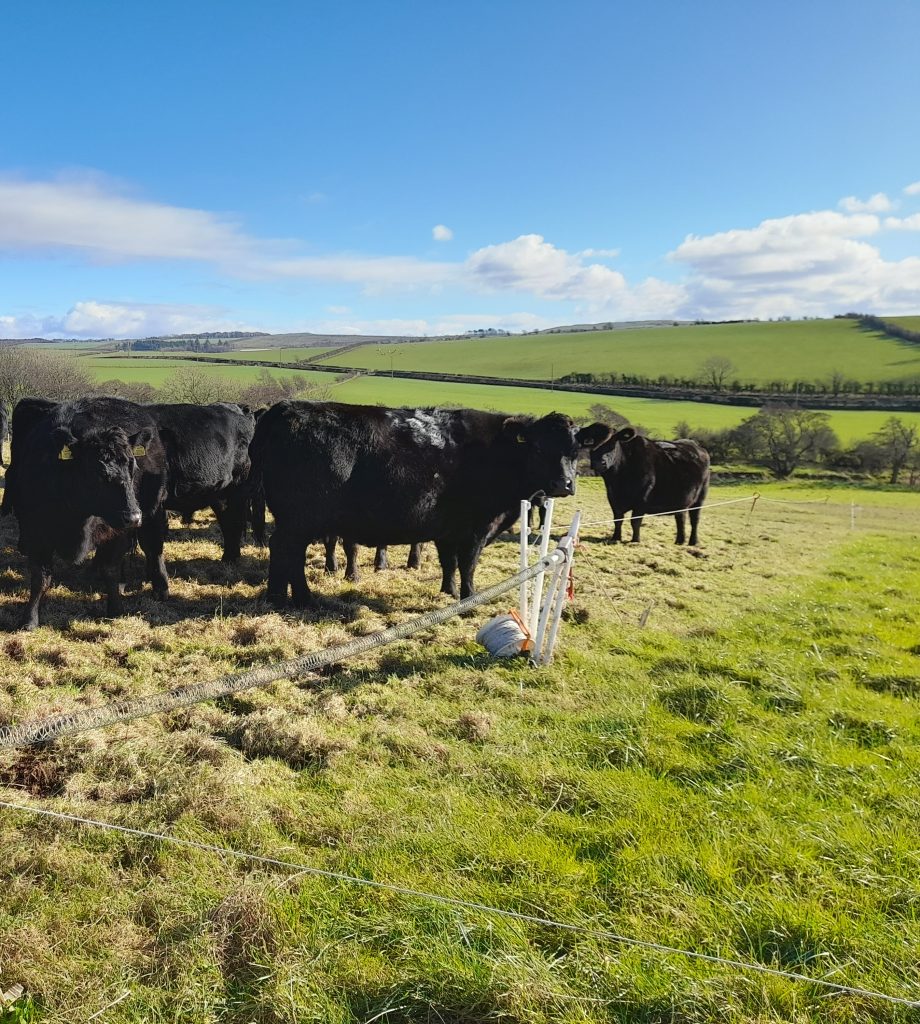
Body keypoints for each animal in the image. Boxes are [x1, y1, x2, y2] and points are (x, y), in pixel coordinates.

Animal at [248, 401, 581, 606]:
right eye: (538, 448)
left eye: (576, 451)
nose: (564, 484)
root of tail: (286, 408)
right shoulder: (476, 527)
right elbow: (468, 564)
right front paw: (469, 599)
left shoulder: (449, 529)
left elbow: (449, 562)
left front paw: (448, 591)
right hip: (300, 519)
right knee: (286, 550)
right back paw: (293, 598)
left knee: (287, 552)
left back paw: (289, 597)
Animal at [573, 421, 708, 544]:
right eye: (591, 443)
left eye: (613, 443)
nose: (599, 463)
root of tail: (697, 447)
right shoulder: (613, 498)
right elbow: (618, 519)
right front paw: (616, 537)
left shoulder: (642, 499)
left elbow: (635, 521)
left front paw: (635, 540)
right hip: (682, 501)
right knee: (681, 518)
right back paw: (680, 541)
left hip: (700, 498)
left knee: (695, 519)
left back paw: (693, 541)